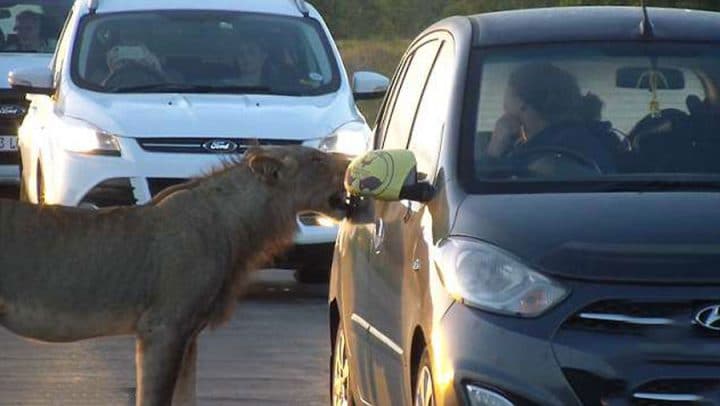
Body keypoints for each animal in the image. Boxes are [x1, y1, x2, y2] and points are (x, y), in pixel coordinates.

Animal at [0, 145, 349, 406]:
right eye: (318, 159)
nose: (351, 161)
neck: (238, 223)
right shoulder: (163, 327)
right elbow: (155, 397)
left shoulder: (188, 334)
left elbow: (186, 397)